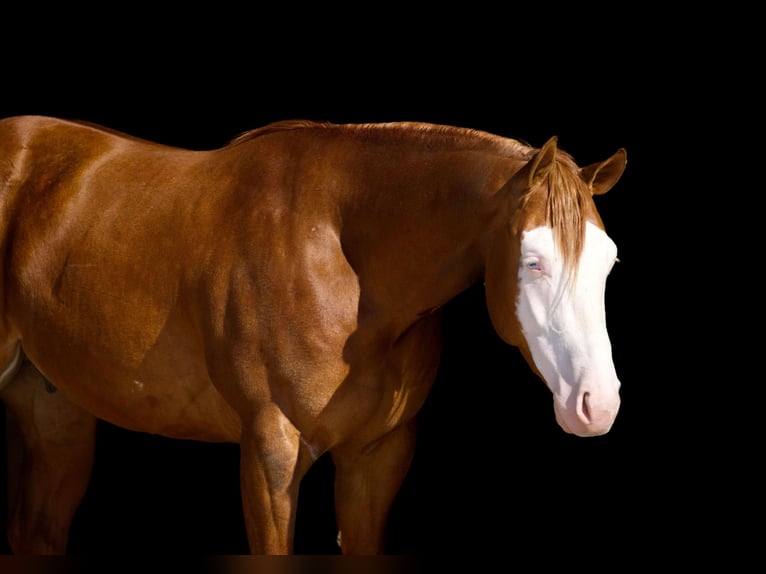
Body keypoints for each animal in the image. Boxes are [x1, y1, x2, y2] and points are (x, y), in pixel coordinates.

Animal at [0, 116, 632, 552]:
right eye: (533, 262)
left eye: (610, 262)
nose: (596, 404)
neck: (339, 258)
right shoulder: (270, 453)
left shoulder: (377, 458)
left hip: (55, 411)